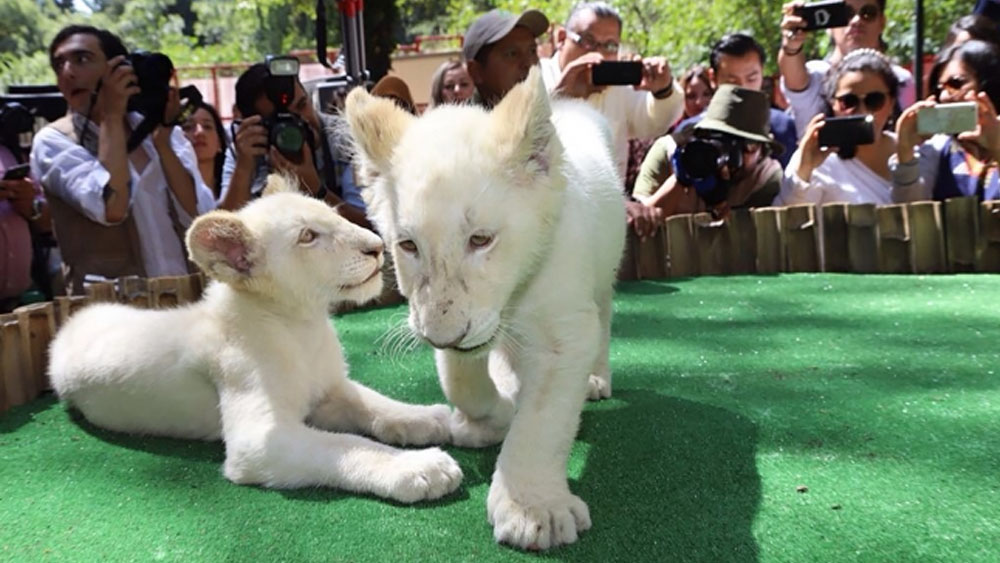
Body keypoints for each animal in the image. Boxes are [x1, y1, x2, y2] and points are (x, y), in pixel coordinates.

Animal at [47, 177, 462, 503]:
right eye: (308, 236)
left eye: (334, 215)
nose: (376, 246)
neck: (303, 326)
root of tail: (72, 321)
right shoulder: (259, 441)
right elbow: (347, 444)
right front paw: (419, 468)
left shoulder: (329, 389)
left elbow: (374, 403)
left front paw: (428, 417)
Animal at [345, 68, 627, 549]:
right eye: (408, 245)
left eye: (481, 239)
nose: (444, 336)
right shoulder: (446, 323)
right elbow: (461, 380)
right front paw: (491, 419)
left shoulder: (563, 335)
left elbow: (541, 422)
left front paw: (532, 511)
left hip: (605, 278)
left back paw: (595, 380)